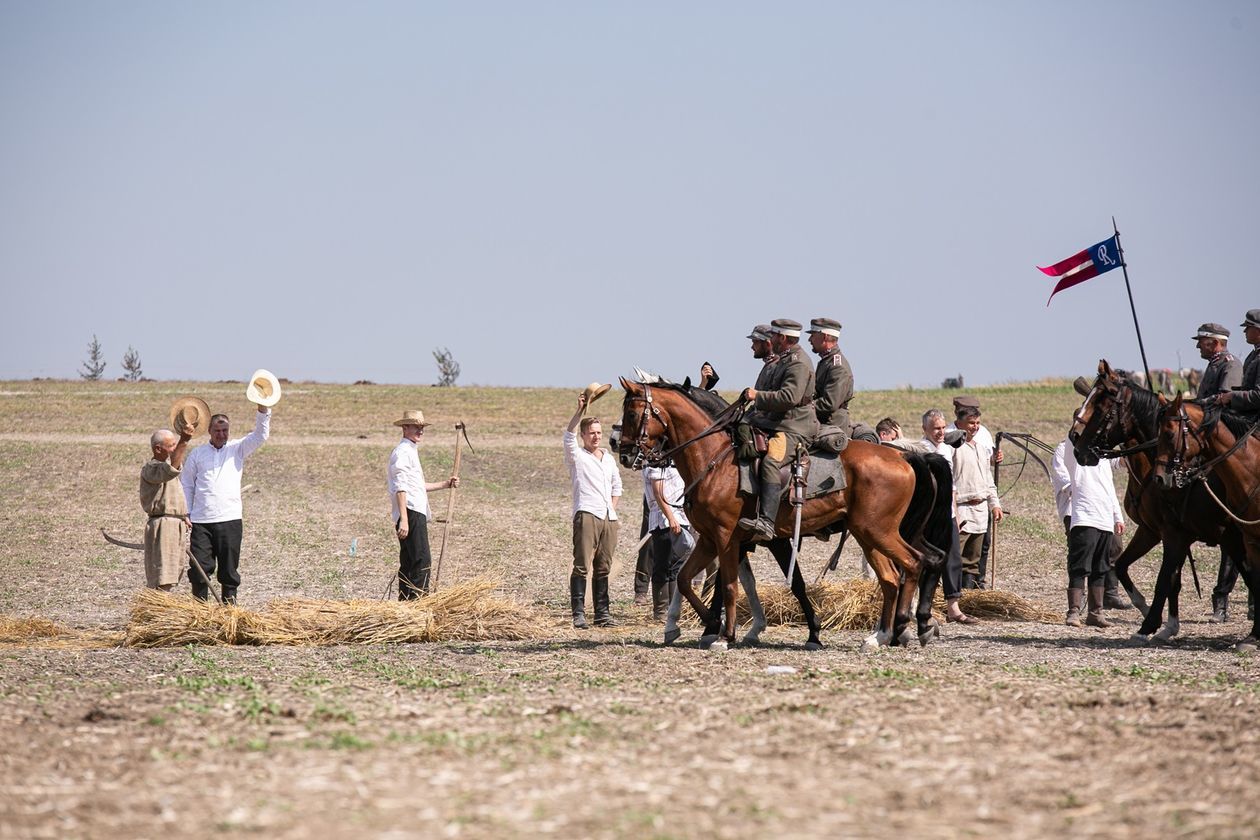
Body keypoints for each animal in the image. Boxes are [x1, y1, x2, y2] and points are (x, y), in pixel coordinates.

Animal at [619, 380, 947, 649]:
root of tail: (903, 456)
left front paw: (724, 635)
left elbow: (729, 585)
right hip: (872, 534)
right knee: (900, 573)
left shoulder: (729, 538)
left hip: (879, 531)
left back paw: (902, 627)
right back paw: (884, 635)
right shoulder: (713, 540)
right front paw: (713, 626)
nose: (623, 452)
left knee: (913, 564)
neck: (715, 460)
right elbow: (687, 580)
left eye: (633, 414)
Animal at [1068, 362, 1244, 644]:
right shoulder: (1153, 531)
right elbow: (1127, 567)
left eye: (1101, 404)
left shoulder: (1174, 534)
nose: (1076, 443)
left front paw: (1150, 624)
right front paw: (1160, 619)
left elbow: (1166, 579)